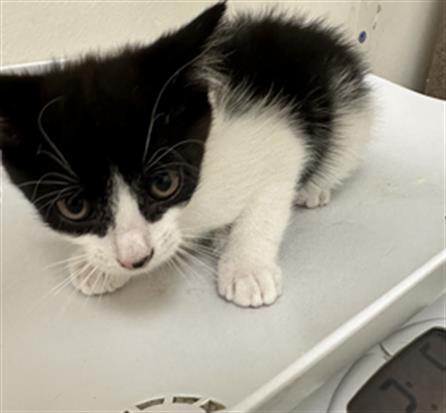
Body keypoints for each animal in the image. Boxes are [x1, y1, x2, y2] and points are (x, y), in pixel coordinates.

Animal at [0, 1, 372, 306]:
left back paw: (311, 190)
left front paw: (248, 268)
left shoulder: (277, 138)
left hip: (350, 118)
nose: (136, 258)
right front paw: (98, 267)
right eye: (75, 207)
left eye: (164, 183)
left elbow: (267, 204)